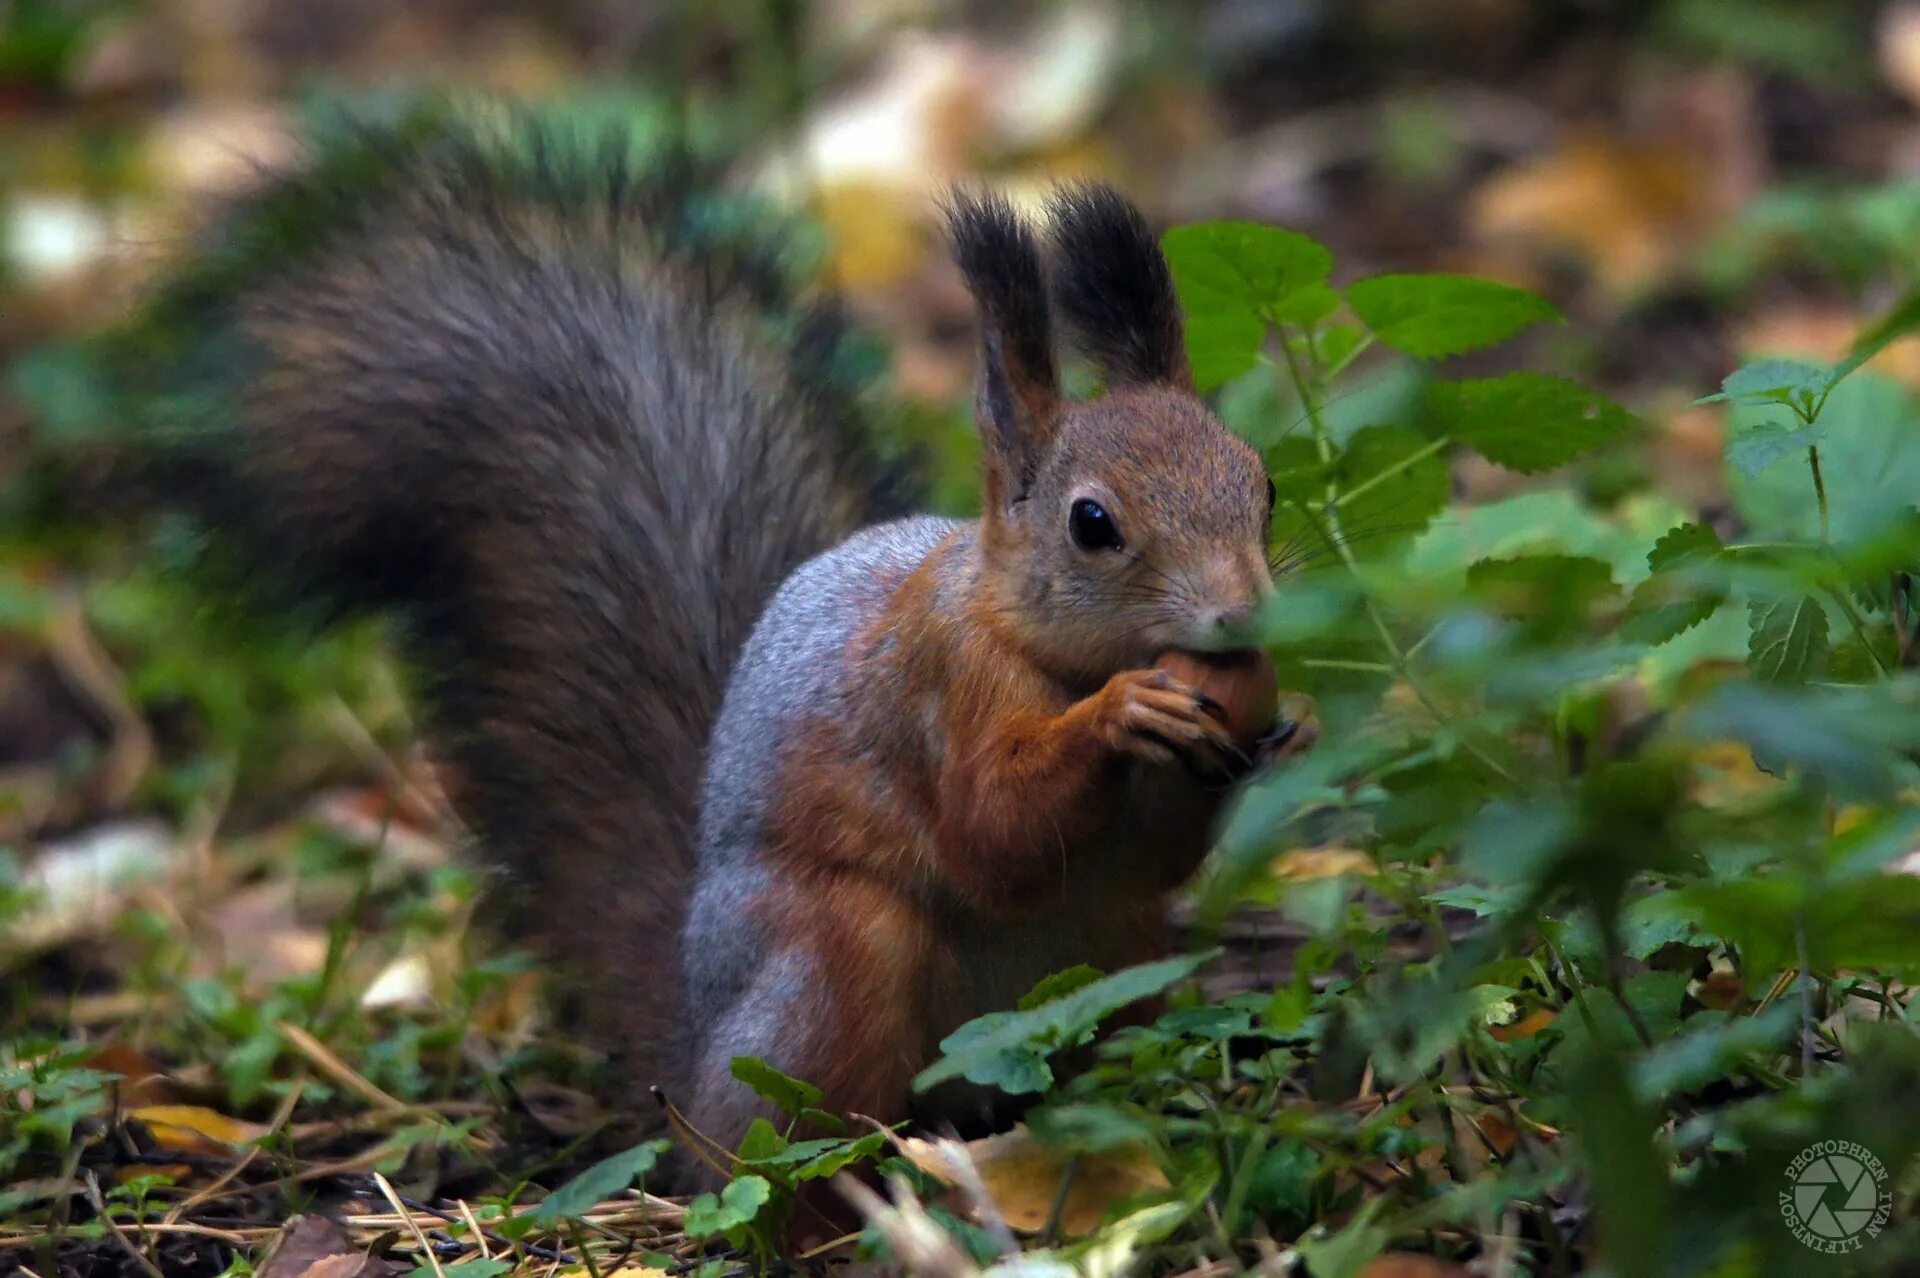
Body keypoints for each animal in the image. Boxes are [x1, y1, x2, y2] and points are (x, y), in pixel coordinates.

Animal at [127, 114, 1297, 1182]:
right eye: (1092, 524)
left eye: (1264, 482)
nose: (1245, 618)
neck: (1030, 631)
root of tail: (686, 1068)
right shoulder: (934, 690)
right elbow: (991, 833)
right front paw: (1124, 714)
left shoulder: (1129, 864)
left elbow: (1153, 853)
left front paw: (1270, 730)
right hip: (828, 964)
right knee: (776, 1148)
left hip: (1119, 963)